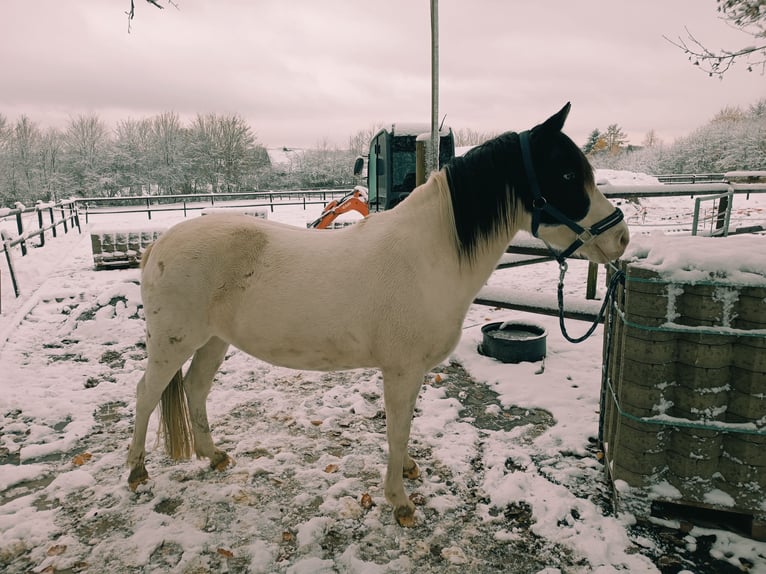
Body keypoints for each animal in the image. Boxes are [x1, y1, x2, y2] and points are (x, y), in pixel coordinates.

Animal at [126, 102, 632, 528]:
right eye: (565, 173)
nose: (621, 238)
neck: (428, 256)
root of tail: (157, 246)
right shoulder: (401, 369)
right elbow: (398, 426)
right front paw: (400, 502)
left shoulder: (413, 371)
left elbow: (404, 426)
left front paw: (407, 472)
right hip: (173, 343)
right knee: (147, 393)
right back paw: (136, 471)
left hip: (214, 341)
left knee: (194, 389)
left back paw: (213, 456)